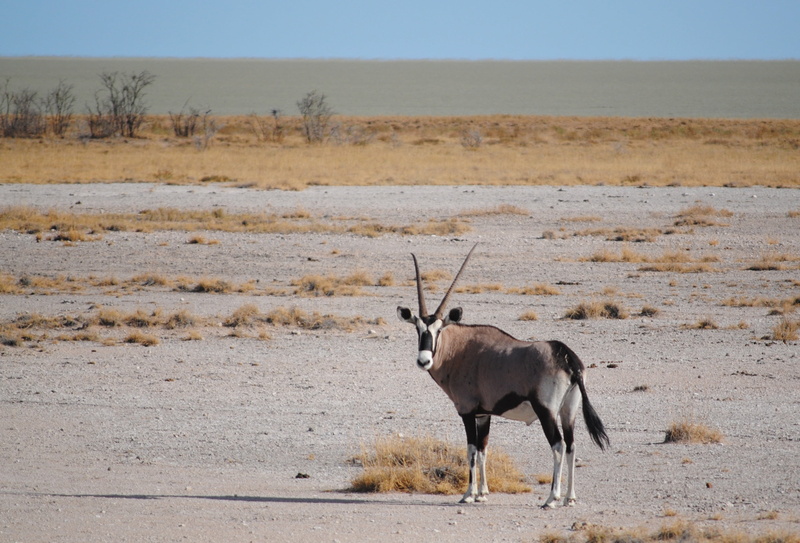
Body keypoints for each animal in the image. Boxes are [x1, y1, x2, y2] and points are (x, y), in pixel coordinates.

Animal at [397, 245, 609, 507]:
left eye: (439, 330)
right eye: (418, 329)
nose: (423, 360)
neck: (460, 350)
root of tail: (567, 356)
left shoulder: (467, 411)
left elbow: (471, 450)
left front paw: (469, 494)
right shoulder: (483, 414)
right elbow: (483, 449)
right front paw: (483, 493)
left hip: (546, 411)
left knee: (558, 445)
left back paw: (552, 498)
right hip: (569, 410)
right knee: (571, 445)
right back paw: (570, 498)